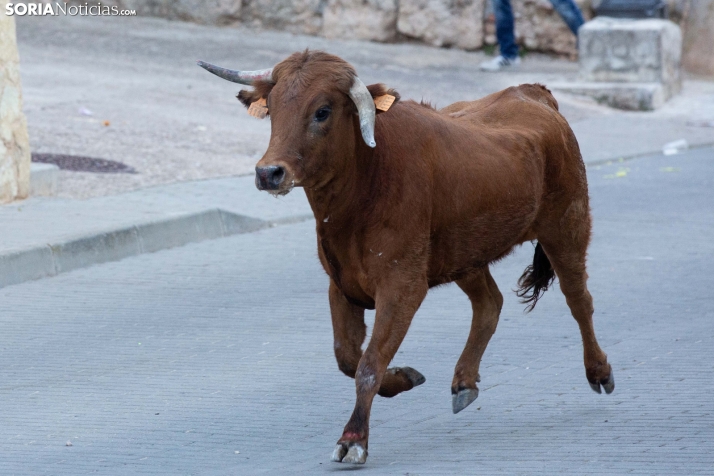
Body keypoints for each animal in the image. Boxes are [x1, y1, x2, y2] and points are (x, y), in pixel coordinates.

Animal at [199, 51, 612, 464]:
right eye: (271, 107)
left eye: (322, 111)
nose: (269, 172)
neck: (361, 190)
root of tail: (532, 92)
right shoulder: (341, 284)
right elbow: (348, 356)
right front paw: (403, 379)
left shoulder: (402, 287)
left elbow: (368, 363)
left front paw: (353, 439)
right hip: (465, 253)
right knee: (489, 303)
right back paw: (464, 381)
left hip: (567, 226)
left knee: (579, 300)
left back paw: (599, 372)